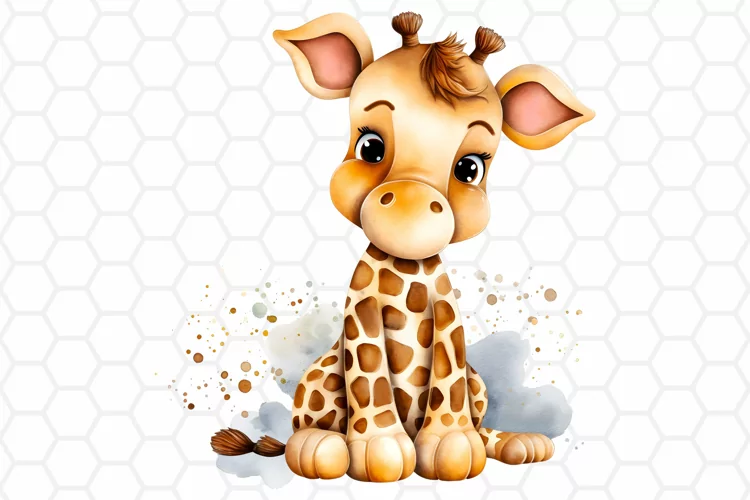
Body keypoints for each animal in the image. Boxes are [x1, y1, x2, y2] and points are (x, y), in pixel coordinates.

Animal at [212, 12, 593, 482]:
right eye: (370, 146)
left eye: (470, 168)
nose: (412, 206)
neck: (410, 267)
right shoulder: (361, 312)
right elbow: (370, 377)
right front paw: (380, 450)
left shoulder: (447, 315)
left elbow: (449, 385)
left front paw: (451, 446)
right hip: (322, 374)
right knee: (307, 426)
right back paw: (316, 448)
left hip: (478, 381)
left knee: (479, 416)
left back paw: (518, 443)